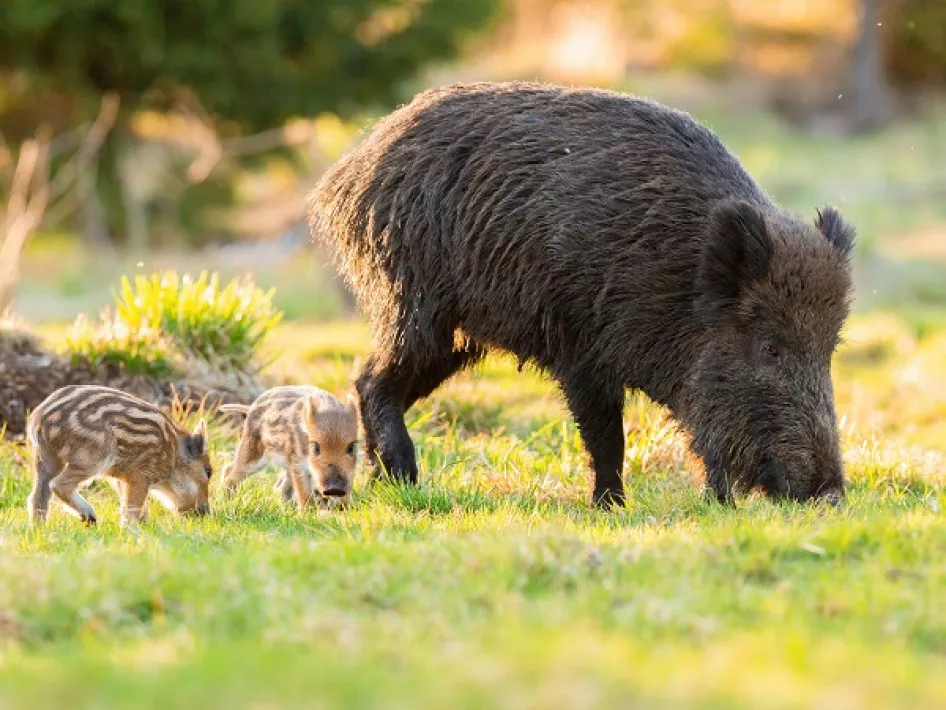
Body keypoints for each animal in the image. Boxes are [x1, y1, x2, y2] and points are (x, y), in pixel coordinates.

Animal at [306, 81, 855, 509]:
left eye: (829, 350)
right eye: (770, 347)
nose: (829, 493)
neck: (678, 282)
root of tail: (346, 174)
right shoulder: (582, 353)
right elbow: (607, 437)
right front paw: (610, 508)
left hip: (459, 338)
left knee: (379, 382)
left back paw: (390, 483)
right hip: (415, 306)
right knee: (371, 379)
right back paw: (403, 478)